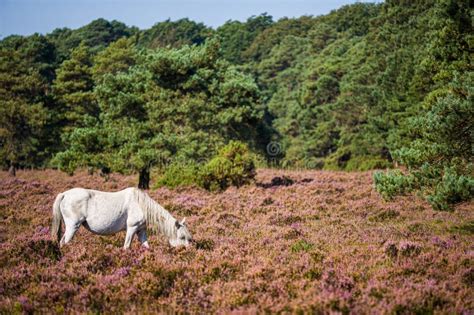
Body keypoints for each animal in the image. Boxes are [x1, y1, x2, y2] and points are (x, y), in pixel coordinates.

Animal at [51, 188, 192, 249]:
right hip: (72, 226)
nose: (187, 252)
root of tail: (64, 194)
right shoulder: (132, 228)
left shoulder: (141, 230)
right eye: (182, 237)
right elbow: (126, 246)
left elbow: (146, 246)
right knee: (64, 242)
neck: (141, 204)